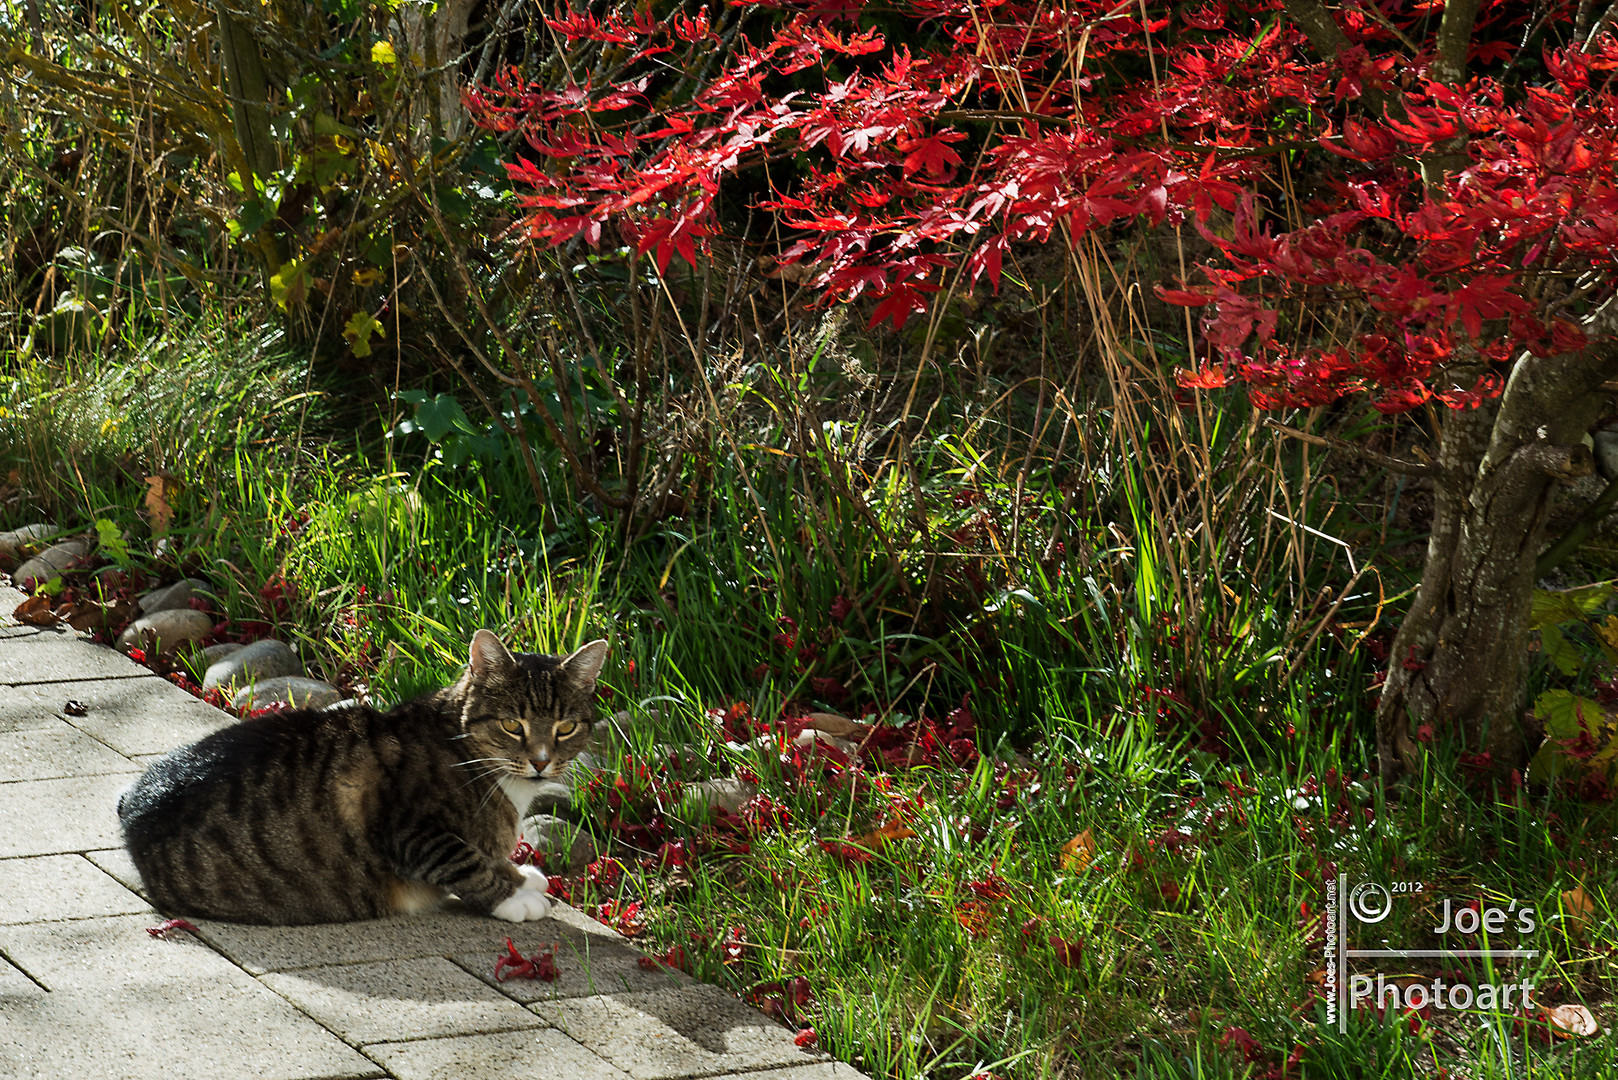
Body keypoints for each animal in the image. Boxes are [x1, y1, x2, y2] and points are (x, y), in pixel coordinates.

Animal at [117, 628, 605, 926]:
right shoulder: (410, 830)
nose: (541, 761)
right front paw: (514, 895)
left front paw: (519, 874)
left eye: (565, 728)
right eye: (511, 725)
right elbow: (464, 860)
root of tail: (133, 803)